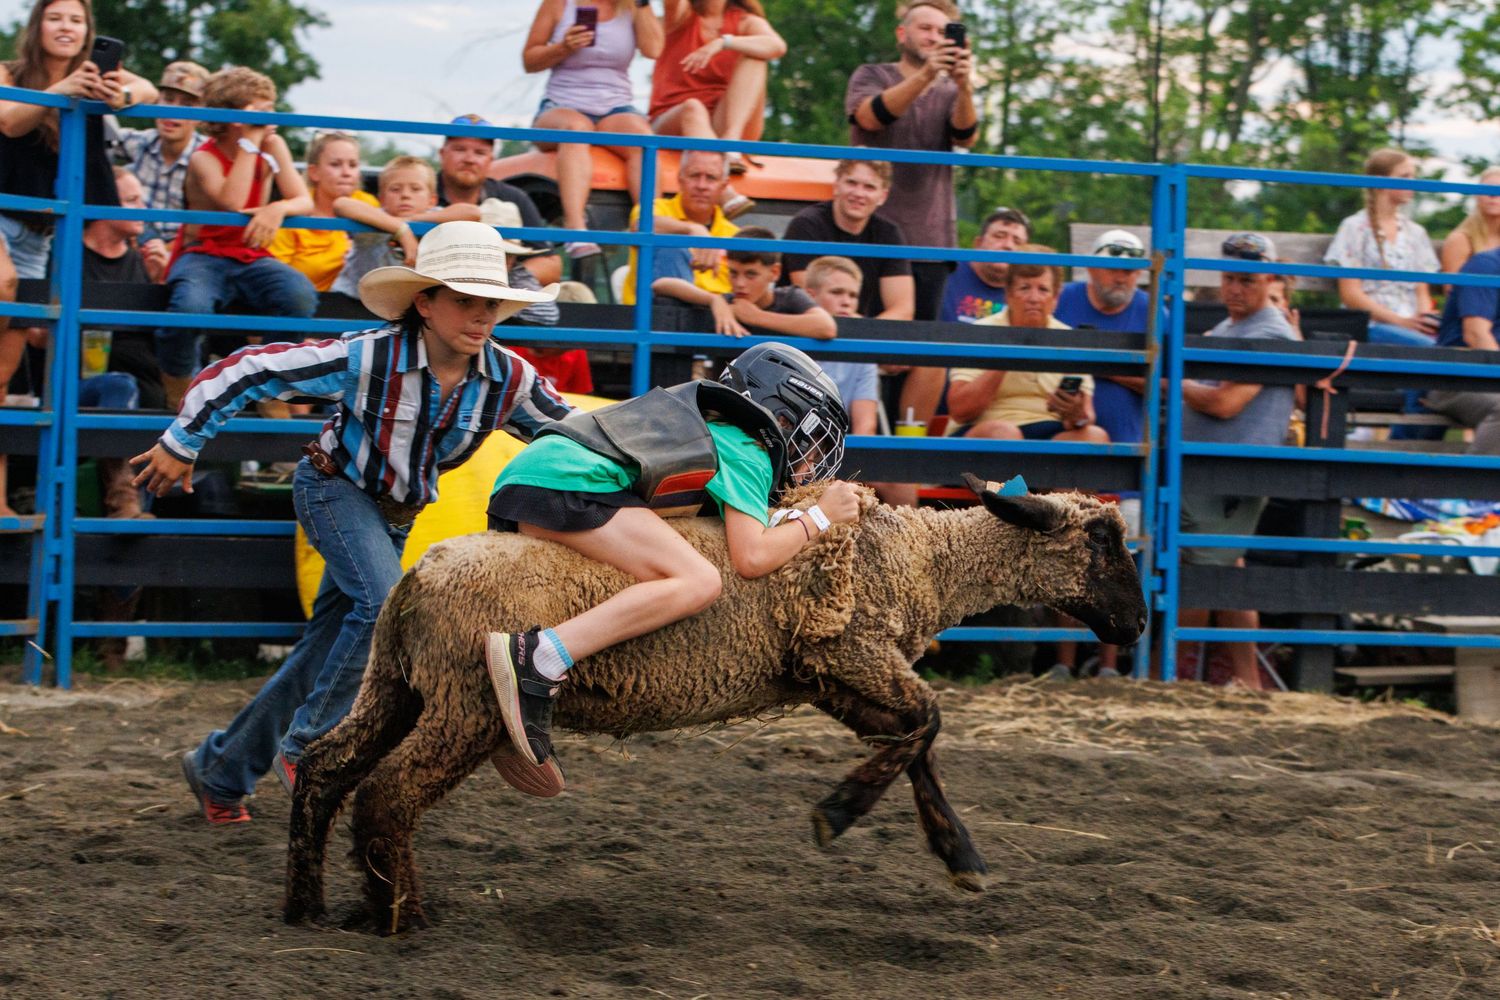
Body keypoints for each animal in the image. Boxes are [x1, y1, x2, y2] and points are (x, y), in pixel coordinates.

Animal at [284, 474, 1147, 932]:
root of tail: (416, 579)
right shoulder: (851, 649)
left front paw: (961, 858)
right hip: (466, 704)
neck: (924, 559)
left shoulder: (829, 675)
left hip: (399, 686)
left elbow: (914, 741)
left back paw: (312, 905)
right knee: (388, 792)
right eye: (1103, 542)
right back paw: (402, 915)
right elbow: (927, 723)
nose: (1139, 626)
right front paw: (834, 815)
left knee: (325, 769)